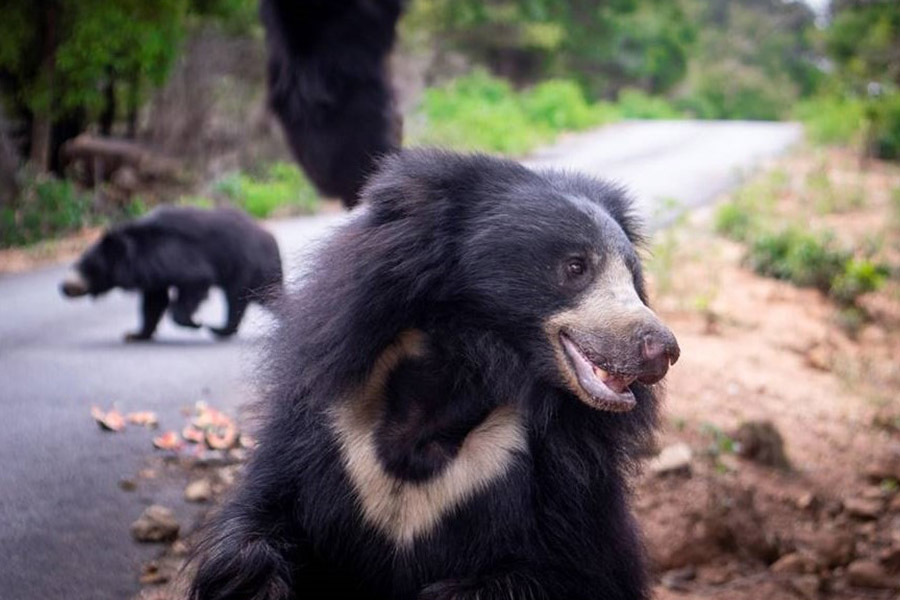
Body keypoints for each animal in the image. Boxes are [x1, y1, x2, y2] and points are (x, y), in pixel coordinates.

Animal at [60, 205, 283, 341]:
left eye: (88, 266)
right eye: (78, 263)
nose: (64, 287)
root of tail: (271, 239)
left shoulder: (171, 255)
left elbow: (196, 280)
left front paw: (195, 323)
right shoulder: (153, 274)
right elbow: (154, 302)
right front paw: (135, 335)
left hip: (246, 266)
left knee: (236, 299)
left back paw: (218, 329)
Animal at [188, 149, 680, 600]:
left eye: (633, 278)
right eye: (576, 266)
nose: (661, 350)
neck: (463, 374)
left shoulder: (563, 477)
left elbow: (573, 571)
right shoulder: (323, 431)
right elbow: (269, 513)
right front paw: (247, 578)